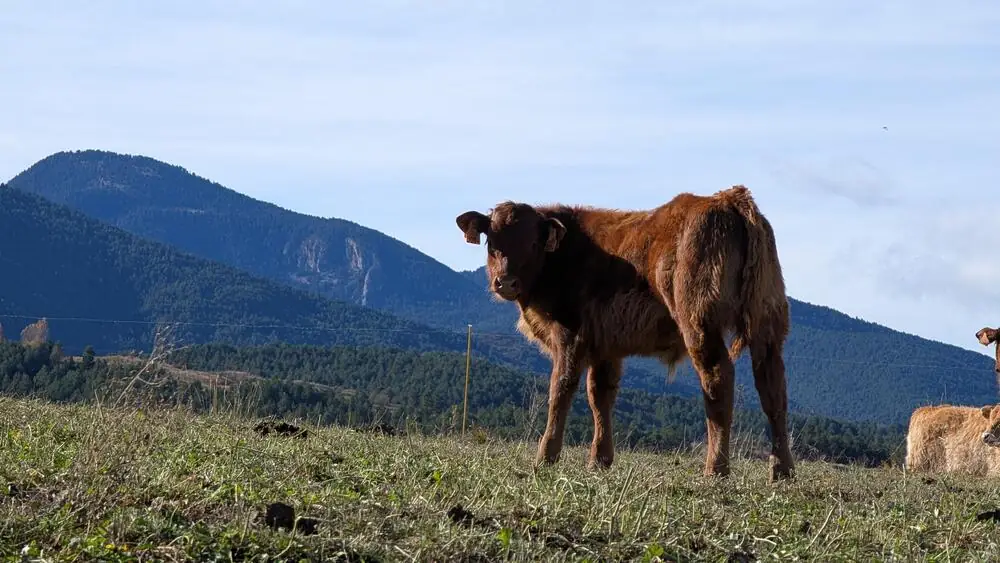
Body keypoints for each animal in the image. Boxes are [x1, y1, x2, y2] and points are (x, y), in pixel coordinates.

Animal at [455, 185, 794, 482]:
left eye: (533, 243)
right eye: (492, 242)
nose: (505, 282)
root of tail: (727, 198)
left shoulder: (570, 335)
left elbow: (560, 390)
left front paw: (546, 456)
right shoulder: (605, 347)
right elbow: (600, 396)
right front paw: (599, 460)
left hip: (699, 324)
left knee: (718, 381)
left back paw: (716, 469)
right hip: (768, 324)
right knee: (772, 388)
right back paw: (781, 470)